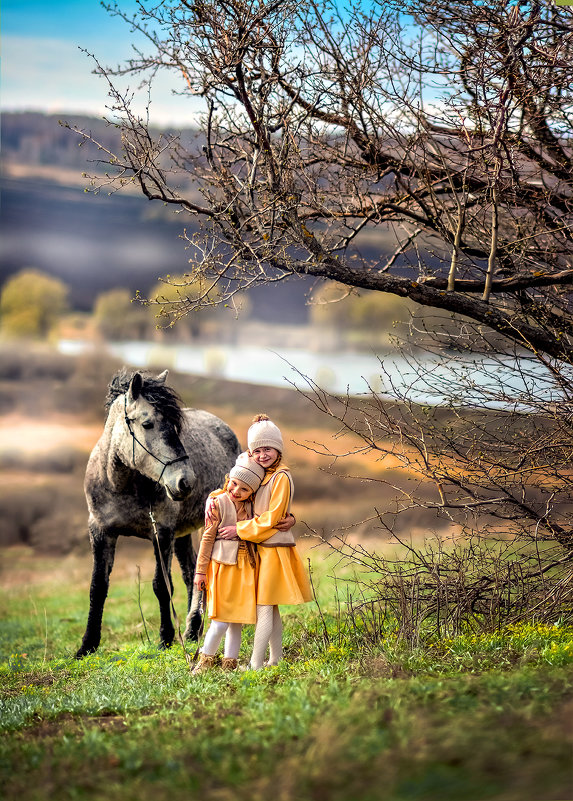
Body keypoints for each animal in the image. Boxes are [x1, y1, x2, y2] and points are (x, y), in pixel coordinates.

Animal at [75, 368, 240, 656]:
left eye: (176, 427)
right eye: (147, 424)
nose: (185, 482)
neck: (121, 485)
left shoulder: (161, 532)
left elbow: (162, 586)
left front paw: (165, 638)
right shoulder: (100, 532)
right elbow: (98, 587)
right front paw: (87, 645)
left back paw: (192, 629)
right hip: (183, 533)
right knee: (191, 573)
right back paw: (192, 630)